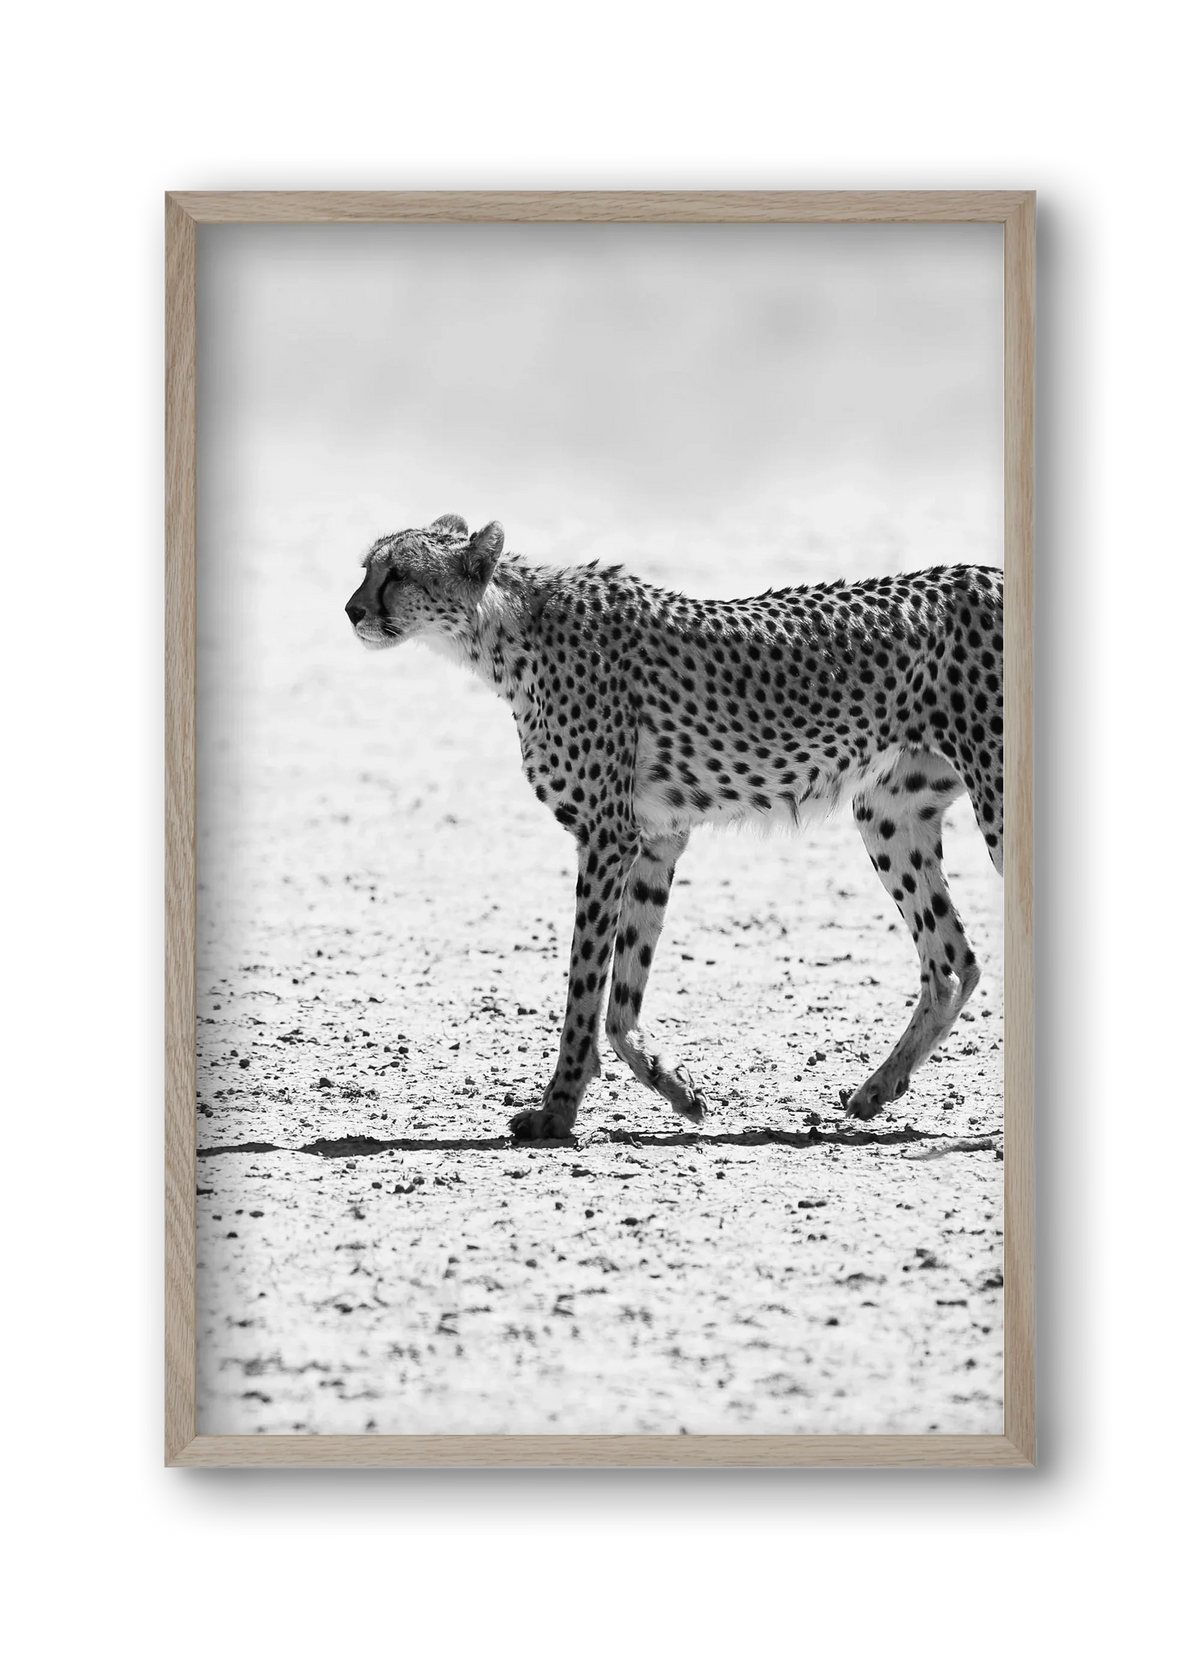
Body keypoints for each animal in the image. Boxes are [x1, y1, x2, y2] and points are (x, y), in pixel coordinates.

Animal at [345, 513, 1003, 1143]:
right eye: (367, 568)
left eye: (398, 573)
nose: (352, 610)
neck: (506, 631)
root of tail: (988, 571)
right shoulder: (656, 839)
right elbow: (621, 996)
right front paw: (676, 1087)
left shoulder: (607, 836)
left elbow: (585, 985)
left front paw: (557, 1111)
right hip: (889, 814)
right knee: (952, 962)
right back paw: (877, 1089)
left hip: (992, 802)